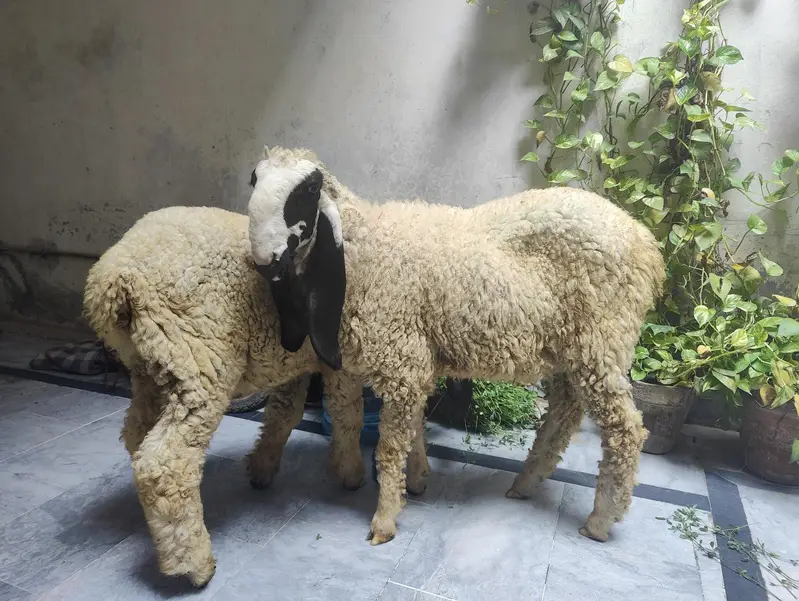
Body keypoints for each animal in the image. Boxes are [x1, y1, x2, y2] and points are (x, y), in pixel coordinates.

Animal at [82, 206, 369, 587]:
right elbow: (347, 414)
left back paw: (159, 529)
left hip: (150, 368)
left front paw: (263, 468)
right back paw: (193, 563)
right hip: (199, 360)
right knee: (165, 463)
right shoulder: (339, 359)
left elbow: (284, 413)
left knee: (137, 435)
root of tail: (114, 278)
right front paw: (350, 473)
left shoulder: (292, 359)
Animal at [247, 145, 666, 547]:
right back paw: (525, 484)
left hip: (603, 341)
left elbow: (389, 445)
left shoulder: (402, 357)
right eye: (253, 179)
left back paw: (600, 520)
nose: (267, 262)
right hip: (571, 349)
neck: (365, 248)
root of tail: (645, 242)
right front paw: (398, 478)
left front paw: (384, 519)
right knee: (564, 413)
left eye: (309, 189)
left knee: (625, 430)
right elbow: (357, 418)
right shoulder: (374, 359)